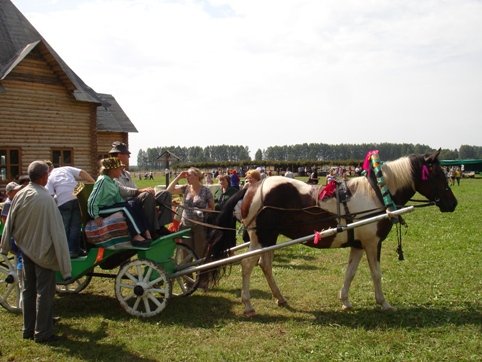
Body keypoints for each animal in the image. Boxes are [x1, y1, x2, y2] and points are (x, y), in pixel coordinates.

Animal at [201, 148, 458, 316]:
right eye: (437, 174)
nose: (453, 203)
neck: (376, 193)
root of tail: (252, 187)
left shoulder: (358, 244)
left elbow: (350, 273)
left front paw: (345, 300)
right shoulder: (372, 243)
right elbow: (376, 273)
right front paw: (383, 302)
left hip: (269, 238)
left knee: (264, 265)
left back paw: (279, 297)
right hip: (260, 238)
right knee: (247, 265)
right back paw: (248, 304)